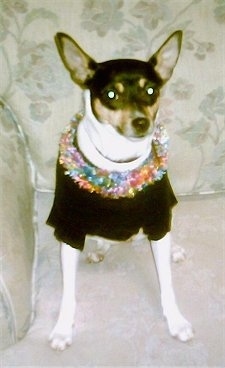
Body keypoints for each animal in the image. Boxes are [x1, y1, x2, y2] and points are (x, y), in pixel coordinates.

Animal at [47, 30, 193, 350]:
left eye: (151, 91)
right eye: (111, 95)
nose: (142, 122)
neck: (120, 164)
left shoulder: (157, 219)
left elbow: (167, 283)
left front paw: (176, 321)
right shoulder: (70, 228)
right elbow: (68, 292)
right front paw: (63, 328)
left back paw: (173, 249)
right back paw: (100, 249)